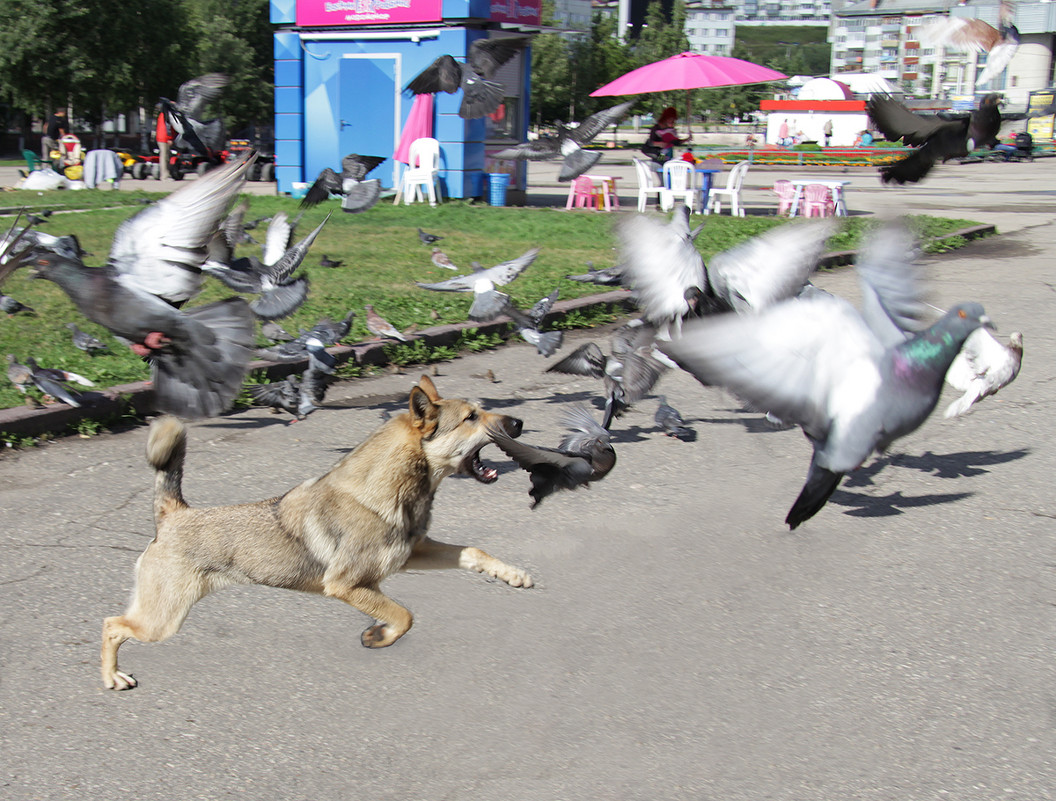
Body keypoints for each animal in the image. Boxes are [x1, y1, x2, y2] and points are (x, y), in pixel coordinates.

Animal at [101, 375, 532, 688]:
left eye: (482, 410)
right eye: (471, 417)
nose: (519, 423)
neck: (387, 490)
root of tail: (172, 514)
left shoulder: (413, 554)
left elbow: (474, 552)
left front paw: (513, 574)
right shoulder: (346, 585)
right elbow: (404, 615)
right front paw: (379, 635)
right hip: (162, 621)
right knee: (111, 625)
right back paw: (112, 677)